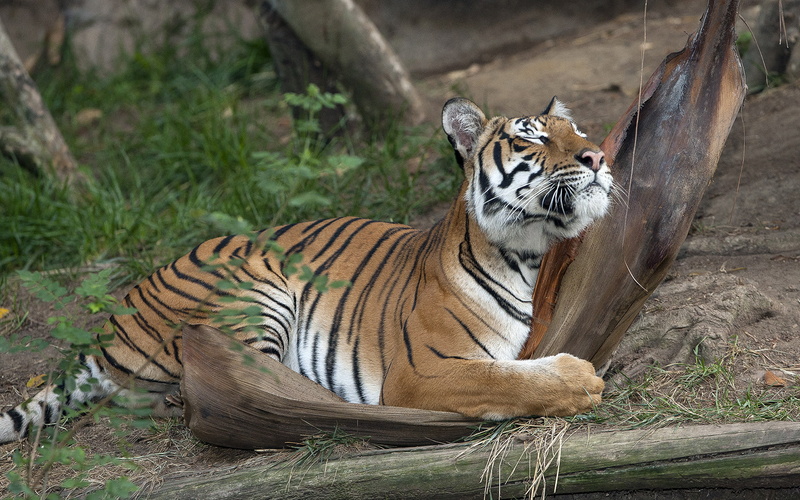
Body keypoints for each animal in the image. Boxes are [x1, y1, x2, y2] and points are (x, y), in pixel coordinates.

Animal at [1, 97, 612, 444]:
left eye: (578, 131)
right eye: (532, 137)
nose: (599, 157)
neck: (531, 253)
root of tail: (116, 312)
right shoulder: (422, 370)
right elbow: (503, 378)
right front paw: (580, 381)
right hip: (255, 291)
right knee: (247, 393)